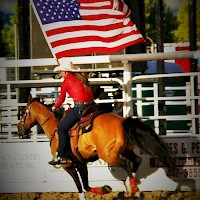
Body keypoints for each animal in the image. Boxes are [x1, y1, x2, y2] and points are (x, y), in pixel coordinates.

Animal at [16, 95, 173, 198]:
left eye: (23, 112)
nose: (19, 129)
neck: (54, 128)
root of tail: (121, 121)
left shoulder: (68, 165)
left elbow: (80, 187)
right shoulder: (81, 163)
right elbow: (85, 185)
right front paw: (105, 189)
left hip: (108, 155)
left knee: (126, 165)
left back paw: (134, 189)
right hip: (125, 150)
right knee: (136, 161)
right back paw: (134, 185)